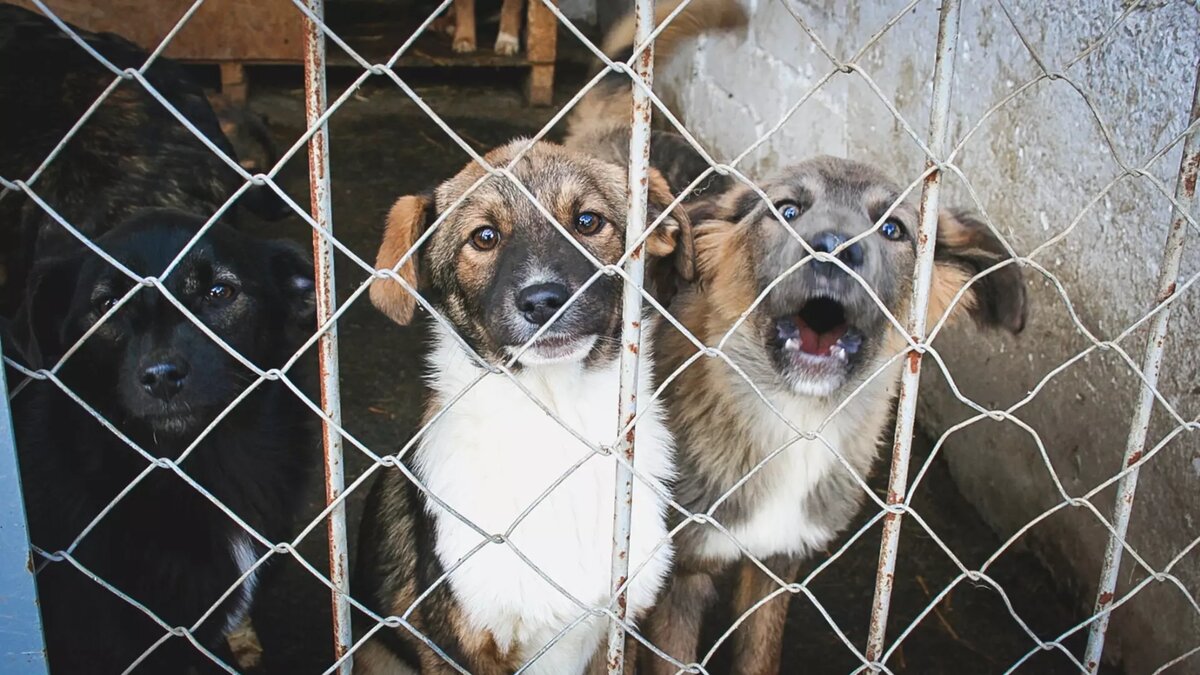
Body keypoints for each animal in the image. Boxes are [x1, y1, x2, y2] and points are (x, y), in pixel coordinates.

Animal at [643, 156, 1027, 672]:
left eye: (892, 229)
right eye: (787, 210)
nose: (833, 252)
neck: (798, 422)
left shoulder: (779, 565)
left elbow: (760, 656)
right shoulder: (680, 575)